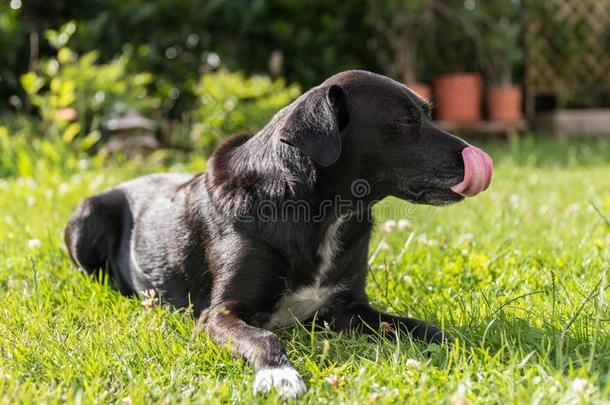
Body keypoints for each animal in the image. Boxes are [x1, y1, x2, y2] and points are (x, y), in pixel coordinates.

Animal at [64, 71, 492, 396]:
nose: (476, 154)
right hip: (88, 215)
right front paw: (279, 374)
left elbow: (417, 326)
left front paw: (466, 344)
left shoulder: (350, 308)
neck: (319, 212)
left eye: (426, 114)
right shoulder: (221, 312)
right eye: (405, 121)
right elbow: (264, 338)